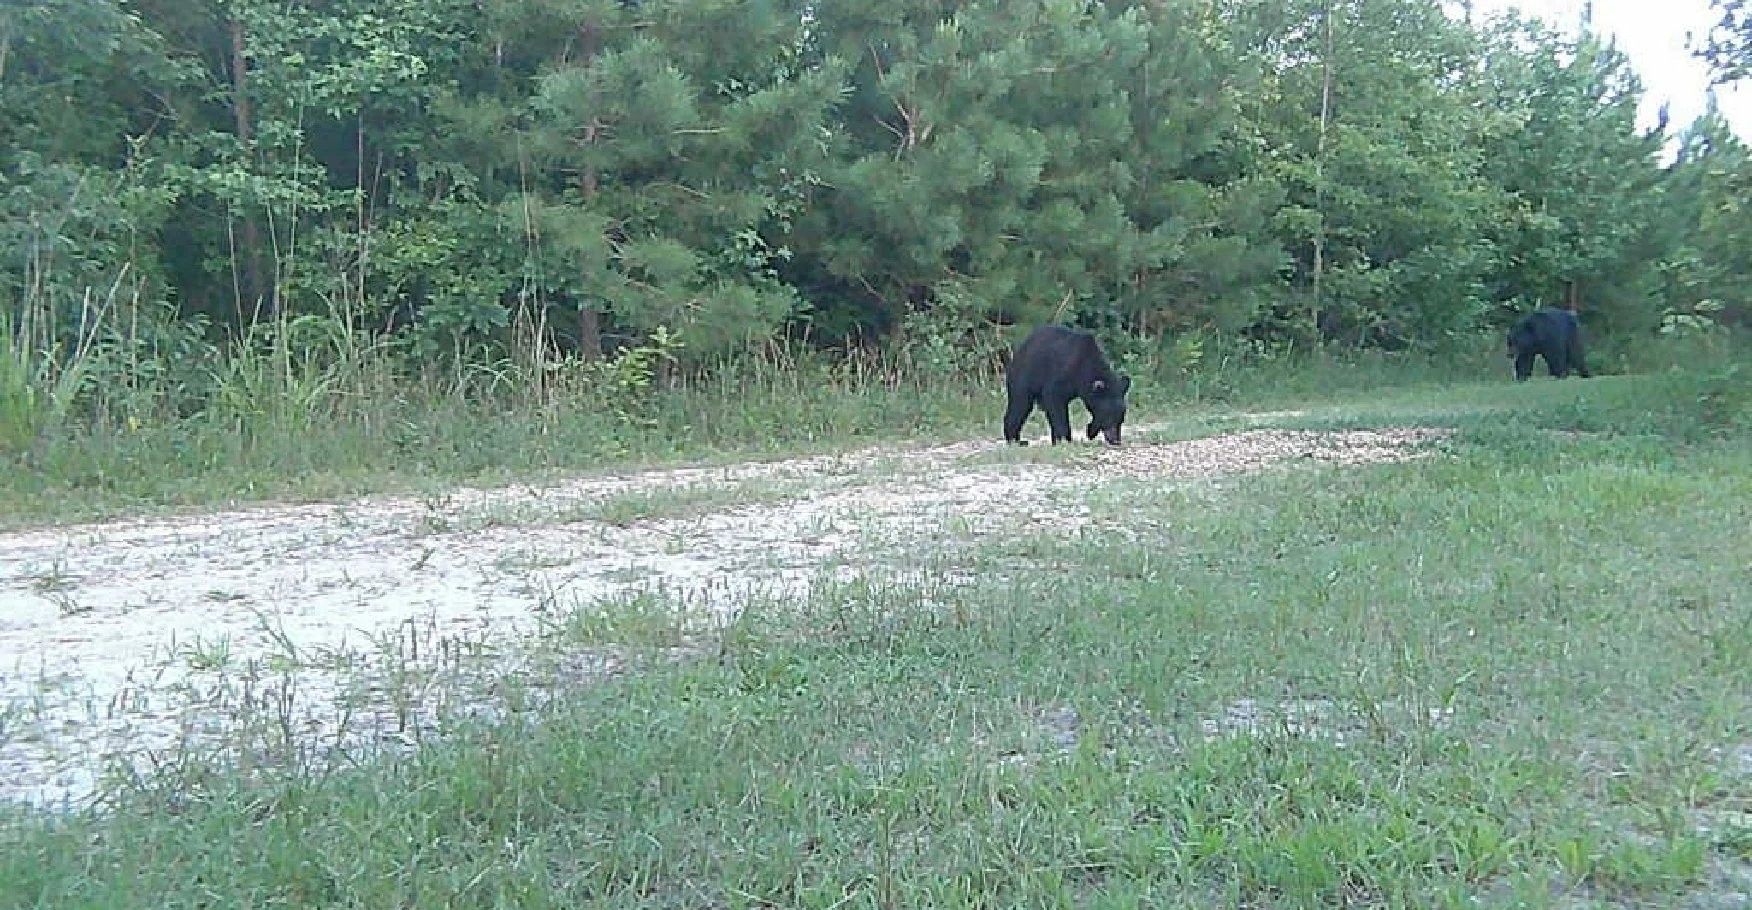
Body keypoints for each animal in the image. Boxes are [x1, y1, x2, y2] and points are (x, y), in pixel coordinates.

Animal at [1003, 324, 1132, 445]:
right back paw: (1016, 440)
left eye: (1121, 418)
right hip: (1025, 376)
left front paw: (1090, 431)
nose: (1116, 440)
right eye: (1109, 415)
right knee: (1021, 404)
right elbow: (1055, 400)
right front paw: (1065, 438)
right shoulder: (1063, 375)